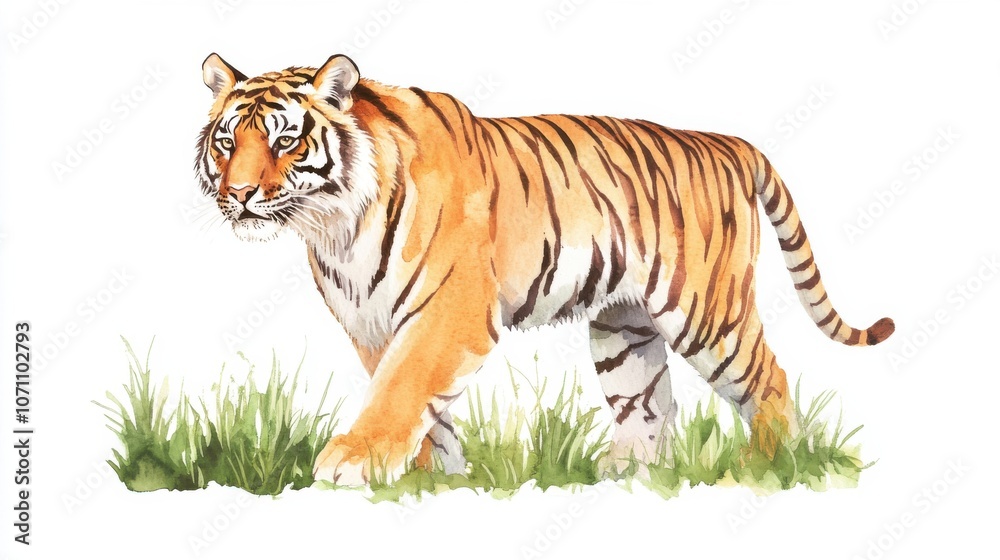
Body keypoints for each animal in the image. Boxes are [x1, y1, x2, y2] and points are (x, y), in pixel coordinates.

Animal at [196, 53, 894, 485]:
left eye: (286, 140)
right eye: (227, 142)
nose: (239, 194)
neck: (334, 226)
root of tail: (729, 143)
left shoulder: (449, 312)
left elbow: (402, 387)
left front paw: (353, 463)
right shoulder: (372, 324)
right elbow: (416, 402)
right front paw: (432, 478)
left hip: (707, 313)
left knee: (769, 380)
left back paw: (765, 466)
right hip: (623, 329)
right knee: (651, 407)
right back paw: (628, 477)